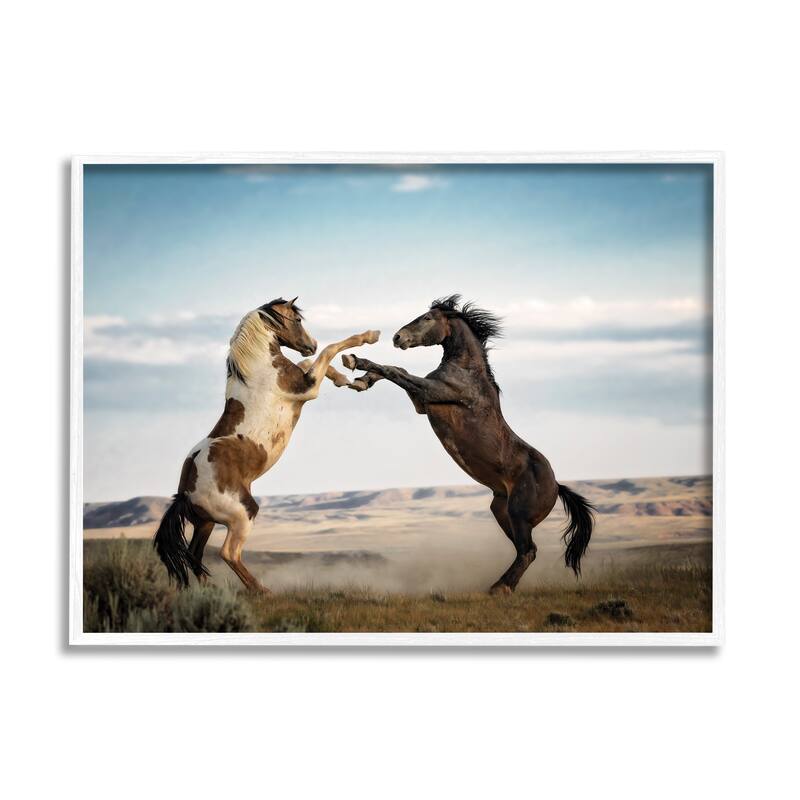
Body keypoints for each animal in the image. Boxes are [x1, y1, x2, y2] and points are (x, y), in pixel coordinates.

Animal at [153, 297, 380, 593]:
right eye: (297, 320)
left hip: (206, 523)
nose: (312, 343)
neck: (259, 370)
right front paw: (369, 336)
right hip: (242, 513)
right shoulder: (308, 389)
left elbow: (310, 360)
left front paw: (344, 379)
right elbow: (329, 350)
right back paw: (262, 591)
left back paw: (211, 591)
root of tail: (186, 493)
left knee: (195, 555)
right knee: (228, 553)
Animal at [342, 294, 594, 594]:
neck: (467, 371)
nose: (397, 337)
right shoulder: (422, 403)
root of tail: (556, 486)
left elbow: (396, 370)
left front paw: (355, 360)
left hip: (519, 514)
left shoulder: (431, 392)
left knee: (528, 551)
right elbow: (398, 370)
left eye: (427, 318)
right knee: (524, 551)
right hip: (501, 510)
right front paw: (361, 381)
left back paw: (499, 588)